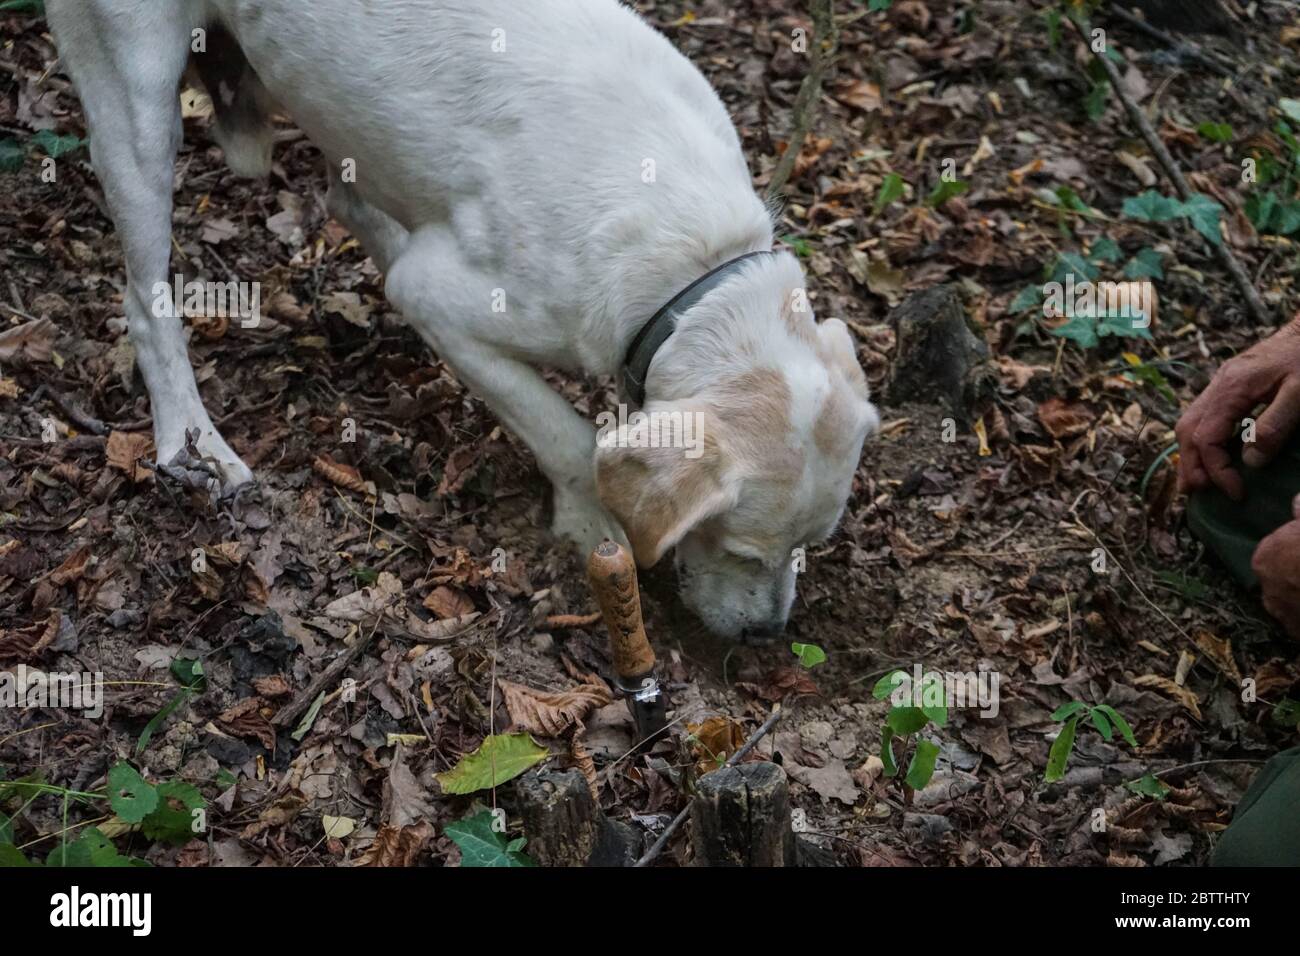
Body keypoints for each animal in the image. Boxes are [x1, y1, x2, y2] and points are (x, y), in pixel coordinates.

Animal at [53, 3, 883, 642]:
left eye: (810, 546)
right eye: (740, 548)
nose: (766, 636)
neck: (694, 260)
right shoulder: (448, 300)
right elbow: (569, 439)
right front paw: (591, 524)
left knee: (346, 200)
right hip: (139, 101)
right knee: (147, 303)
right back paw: (191, 440)